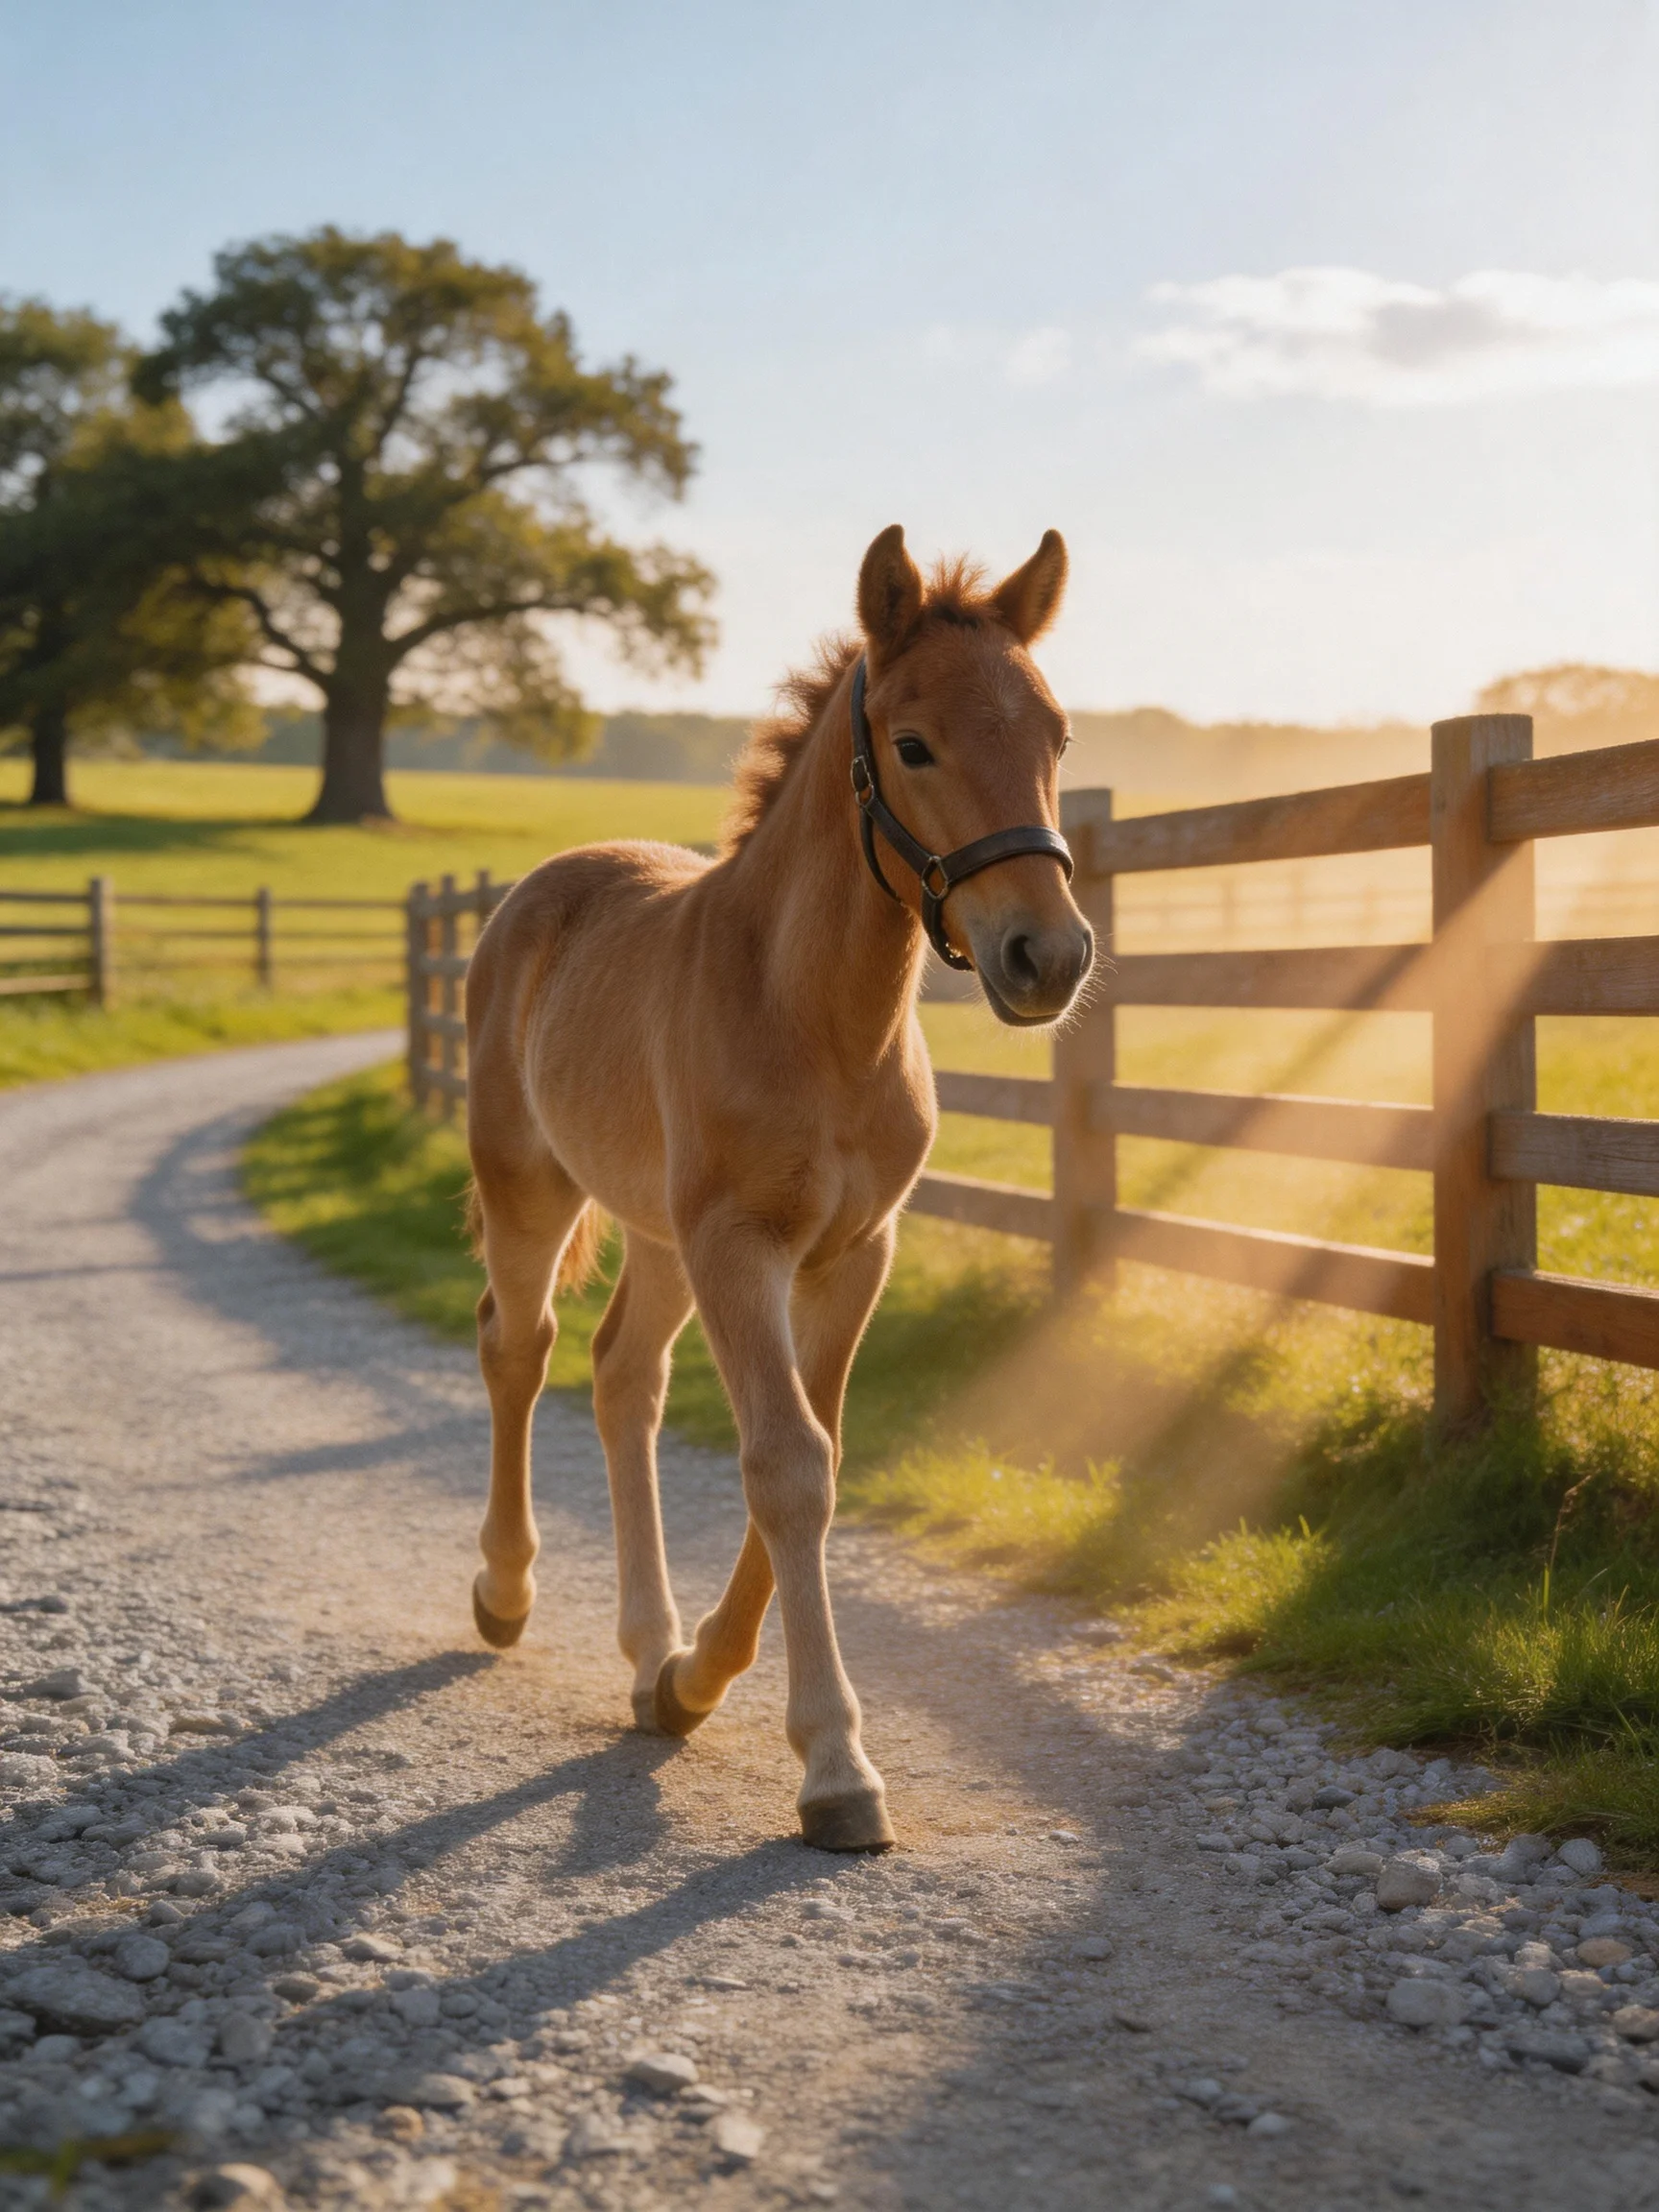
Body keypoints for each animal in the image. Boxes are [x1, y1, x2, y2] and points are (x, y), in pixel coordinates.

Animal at [463, 524, 1094, 1851]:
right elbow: (788, 1465)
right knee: (520, 1347)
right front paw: (837, 1768)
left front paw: (692, 1679)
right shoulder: (741, 1246)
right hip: (534, 1190)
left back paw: (645, 1646)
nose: (1048, 957)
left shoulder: (853, 1253)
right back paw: (505, 1588)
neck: (814, 1017)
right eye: (913, 744)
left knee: (623, 1378)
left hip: (658, 1237)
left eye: (1057, 738)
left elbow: (818, 1449)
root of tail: (539, 890)